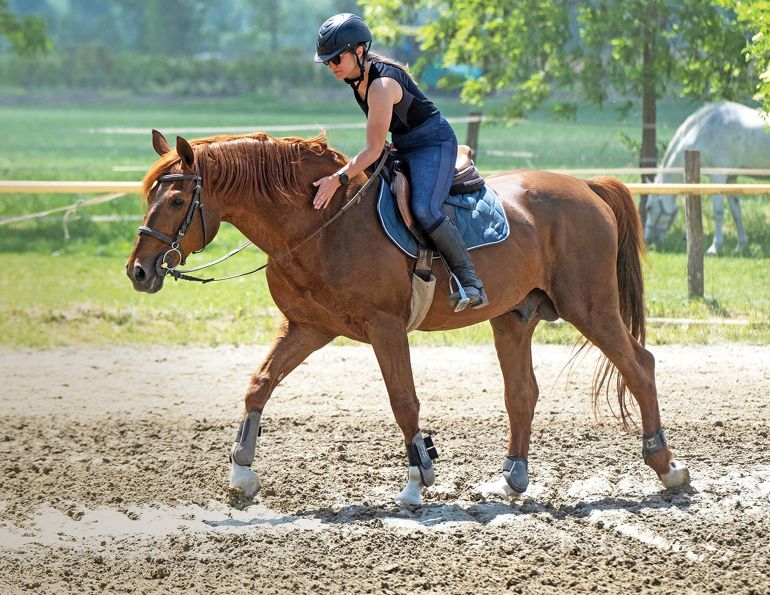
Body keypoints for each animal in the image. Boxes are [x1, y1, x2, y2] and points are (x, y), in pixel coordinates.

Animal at [126, 129, 690, 506]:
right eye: (148, 195)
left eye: (175, 199)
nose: (139, 270)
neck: (318, 224)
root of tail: (587, 188)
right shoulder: (309, 327)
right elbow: (259, 384)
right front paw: (242, 474)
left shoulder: (385, 329)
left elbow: (404, 402)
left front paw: (419, 478)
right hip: (513, 317)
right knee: (522, 393)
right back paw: (513, 476)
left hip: (589, 307)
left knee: (639, 366)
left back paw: (667, 468)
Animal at [645, 101, 769, 254]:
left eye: (649, 208)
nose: (648, 240)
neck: (702, 131)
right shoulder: (730, 178)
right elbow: (736, 213)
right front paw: (740, 246)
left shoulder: (718, 177)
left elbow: (718, 213)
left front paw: (715, 247)